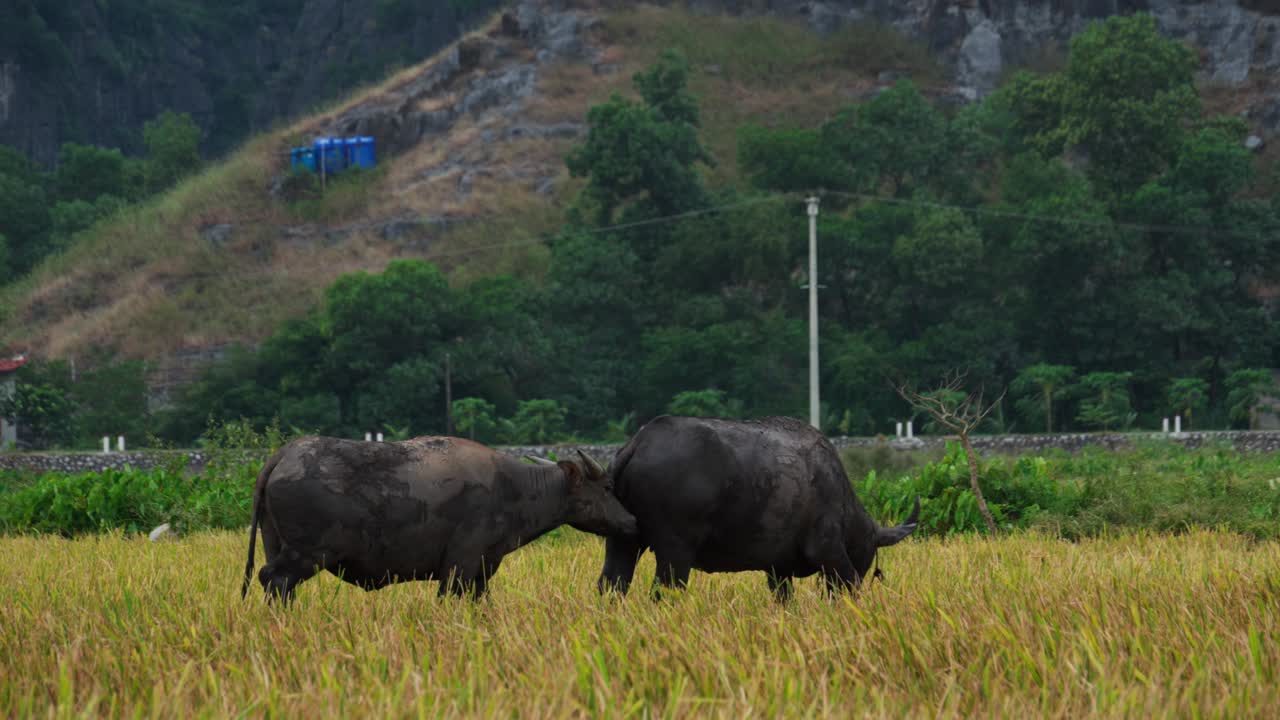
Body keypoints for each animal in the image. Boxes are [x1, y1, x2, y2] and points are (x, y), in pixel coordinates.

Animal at [241, 435, 637, 602]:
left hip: (276, 543)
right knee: (273, 579)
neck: (511, 487)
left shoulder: (482, 571)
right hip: (309, 554)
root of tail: (283, 455)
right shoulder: (459, 567)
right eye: (606, 487)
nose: (631, 520)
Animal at [597, 415, 919, 600]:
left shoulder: (778, 571)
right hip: (674, 551)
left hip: (623, 542)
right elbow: (847, 583)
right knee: (663, 592)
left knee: (611, 585)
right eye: (870, 548)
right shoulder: (828, 550)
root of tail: (638, 442)